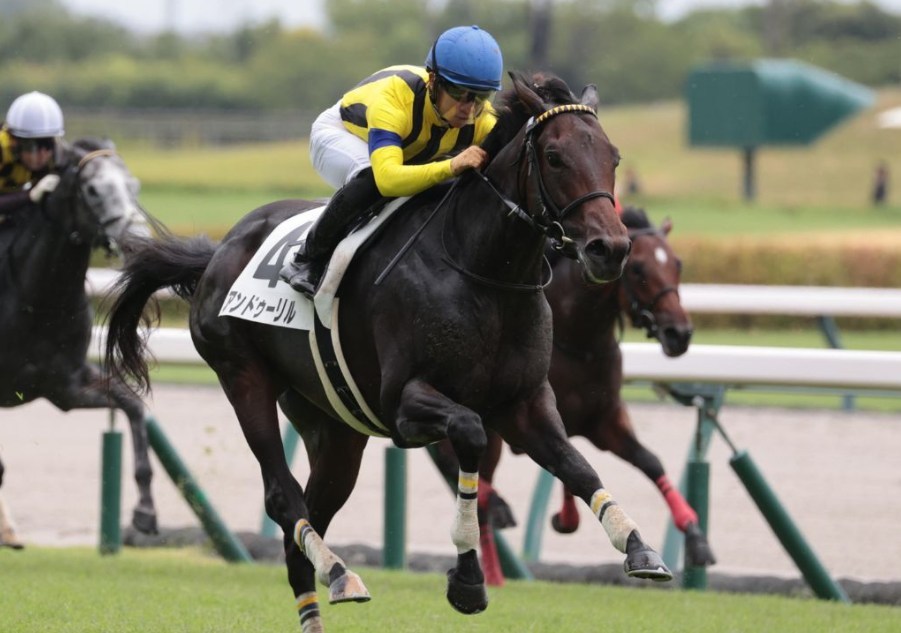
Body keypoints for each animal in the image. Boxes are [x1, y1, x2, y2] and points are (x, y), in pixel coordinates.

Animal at [0, 139, 160, 549]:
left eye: (133, 186)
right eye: (92, 190)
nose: (139, 242)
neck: (38, 300)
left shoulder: (64, 385)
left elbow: (133, 406)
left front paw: (145, 513)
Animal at [104, 72, 672, 631]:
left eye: (613, 157)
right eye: (554, 157)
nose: (610, 249)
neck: (484, 272)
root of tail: (219, 250)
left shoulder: (527, 402)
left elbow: (578, 466)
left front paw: (639, 548)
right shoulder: (405, 403)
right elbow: (470, 434)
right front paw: (467, 580)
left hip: (334, 426)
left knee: (304, 520)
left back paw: (319, 599)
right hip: (243, 377)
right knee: (283, 496)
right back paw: (341, 573)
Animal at [432, 205, 715, 585]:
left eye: (677, 263)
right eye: (638, 268)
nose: (679, 334)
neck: (581, 341)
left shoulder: (604, 419)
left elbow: (649, 461)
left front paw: (696, 538)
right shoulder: (535, 417)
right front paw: (564, 516)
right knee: (471, 483)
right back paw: (494, 554)